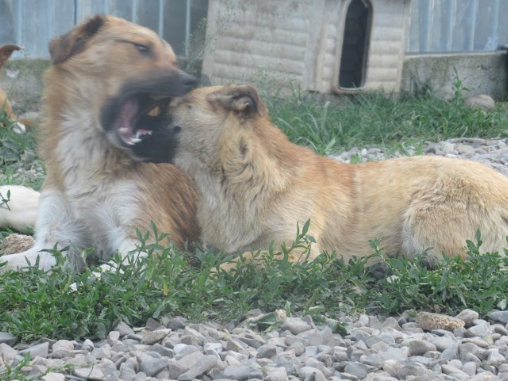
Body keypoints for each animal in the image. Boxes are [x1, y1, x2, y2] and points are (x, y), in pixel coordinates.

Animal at [0, 14, 199, 270]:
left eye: (174, 60)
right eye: (142, 48)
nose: (193, 82)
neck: (89, 153)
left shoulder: (147, 245)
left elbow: (98, 276)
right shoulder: (57, 243)